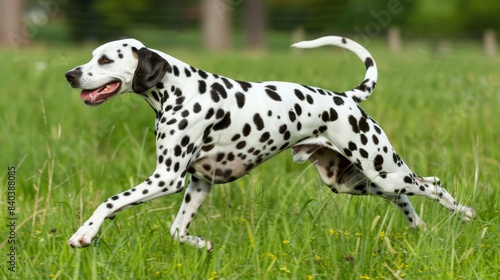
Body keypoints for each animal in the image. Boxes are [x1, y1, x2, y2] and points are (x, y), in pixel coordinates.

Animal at [64, 35, 474, 252]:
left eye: (104, 59)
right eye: (91, 57)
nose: (69, 74)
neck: (179, 89)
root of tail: (346, 98)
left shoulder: (167, 178)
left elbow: (110, 201)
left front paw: (85, 232)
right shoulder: (198, 183)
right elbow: (177, 231)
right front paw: (202, 244)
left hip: (383, 169)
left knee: (432, 185)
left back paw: (466, 214)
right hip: (354, 181)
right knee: (407, 196)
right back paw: (420, 227)